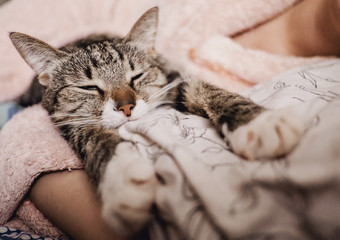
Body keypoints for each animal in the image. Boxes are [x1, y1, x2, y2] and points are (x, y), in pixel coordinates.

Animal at [9, 7, 304, 236]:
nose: (126, 106)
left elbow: (205, 88)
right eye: (89, 87)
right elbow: (93, 136)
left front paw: (257, 122)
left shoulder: (175, 80)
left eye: (136, 76)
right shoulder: (65, 121)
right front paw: (121, 178)